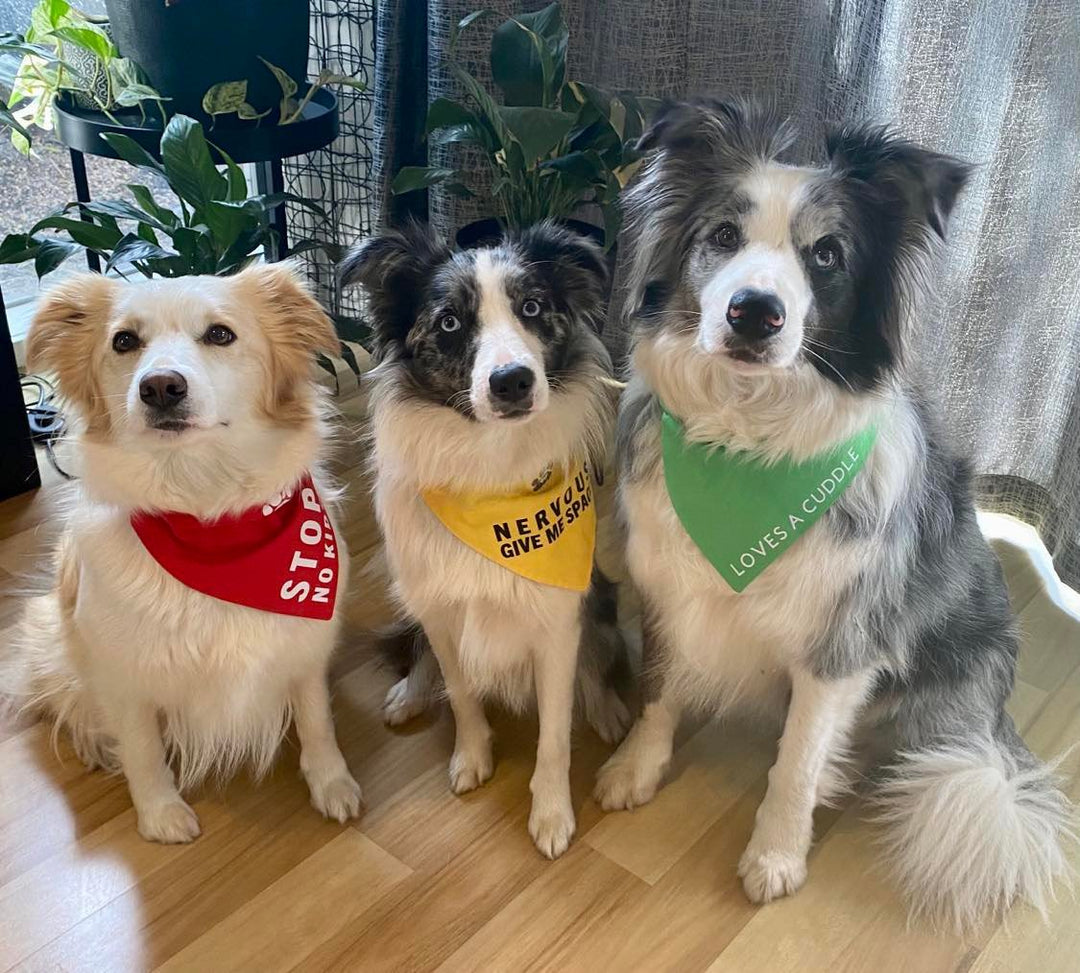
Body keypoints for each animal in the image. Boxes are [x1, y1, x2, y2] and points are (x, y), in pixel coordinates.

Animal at [8, 265, 362, 842]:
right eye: (123, 341)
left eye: (220, 334)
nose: (160, 387)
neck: (205, 509)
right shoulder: (123, 676)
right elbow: (143, 749)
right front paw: (160, 814)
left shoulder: (305, 649)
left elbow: (317, 721)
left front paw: (332, 783)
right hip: (49, 631)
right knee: (68, 700)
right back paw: (96, 745)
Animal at [343, 222, 630, 859]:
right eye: (450, 322)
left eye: (533, 308)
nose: (512, 381)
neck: (490, 473)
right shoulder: (444, 612)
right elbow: (461, 692)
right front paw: (471, 758)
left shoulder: (558, 621)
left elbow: (555, 731)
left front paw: (551, 814)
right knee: (421, 654)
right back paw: (408, 694)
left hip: (600, 594)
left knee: (599, 657)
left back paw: (608, 710)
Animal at [600, 98, 1071, 924]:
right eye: (722, 235)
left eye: (826, 255)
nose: (754, 313)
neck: (750, 443)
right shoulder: (665, 589)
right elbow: (657, 689)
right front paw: (635, 769)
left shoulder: (841, 645)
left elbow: (795, 761)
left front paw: (776, 856)